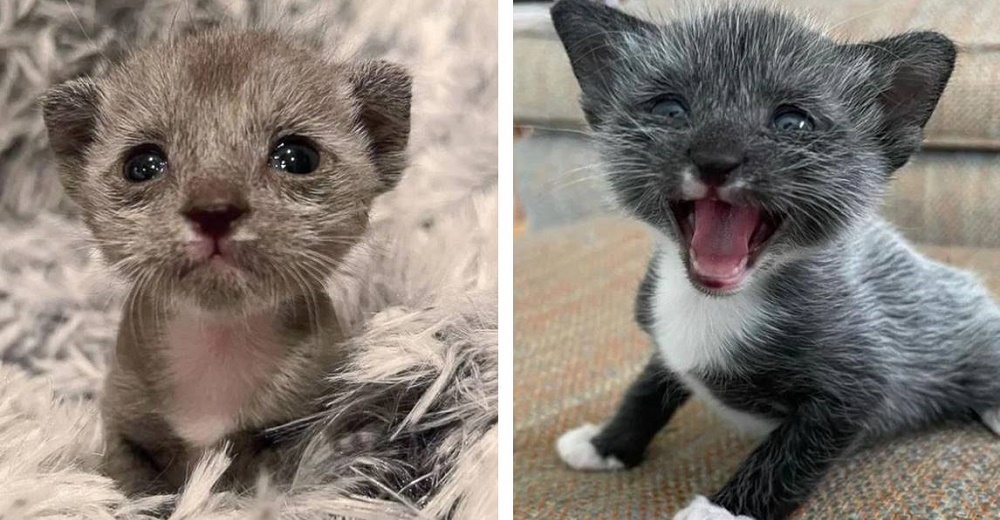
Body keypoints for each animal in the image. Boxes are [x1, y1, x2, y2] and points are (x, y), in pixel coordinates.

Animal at [42, 26, 410, 494]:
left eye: (297, 156)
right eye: (141, 165)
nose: (214, 210)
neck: (219, 343)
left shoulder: (295, 422)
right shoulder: (125, 427)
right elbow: (132, 486)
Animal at [552, 1, 996, 520]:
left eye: (793, 122)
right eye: (669, 109)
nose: (715, 158)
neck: (713, 303)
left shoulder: (862, 377)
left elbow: (791, 451)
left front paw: (723, 509)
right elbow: (646, 386)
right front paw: (607, 443)